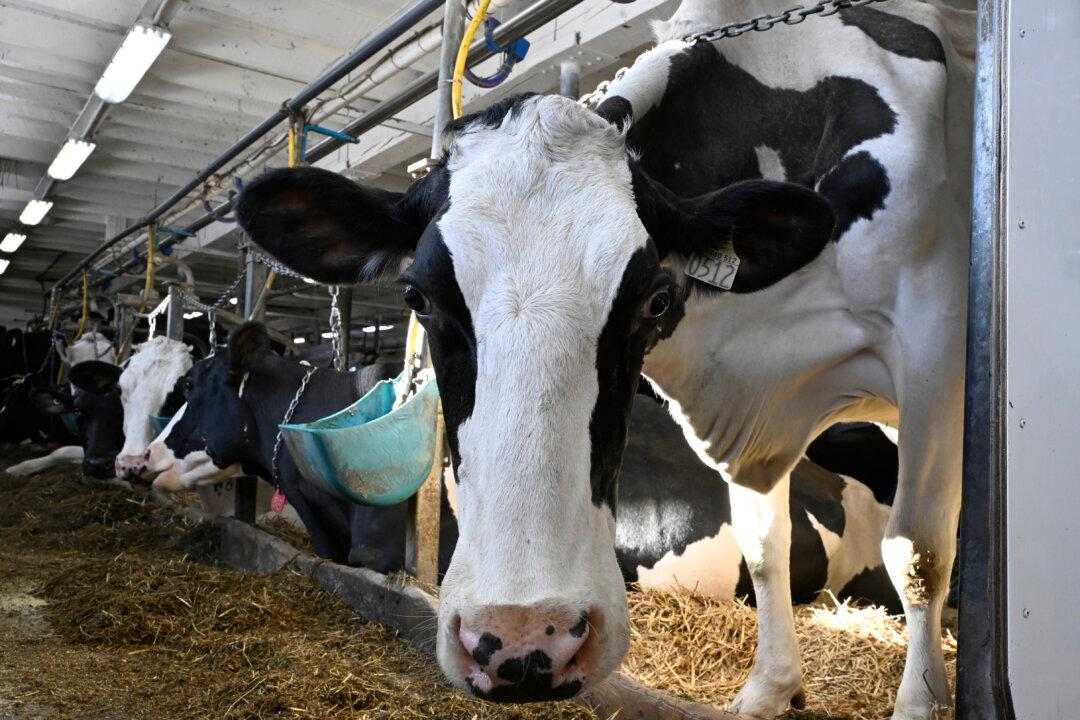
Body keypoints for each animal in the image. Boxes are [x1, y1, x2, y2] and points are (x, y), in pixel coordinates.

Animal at [236, 4, 972, 714]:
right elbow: (767, 549)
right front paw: (769, 690)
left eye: (654, 299)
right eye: (418, 296)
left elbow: (918, 552)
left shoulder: (931, 344)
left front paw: (919, 703)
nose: (527, 640)